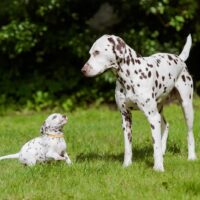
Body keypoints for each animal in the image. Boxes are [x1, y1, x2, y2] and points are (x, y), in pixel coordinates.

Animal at [81, 33, 197, 171]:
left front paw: (158, 167)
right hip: (159, 110)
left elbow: (155, 145)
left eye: (97, 52)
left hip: (186, 107)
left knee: (190, 134)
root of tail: (180, 59)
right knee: (166, 125)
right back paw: (164, 151)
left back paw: (191, 157)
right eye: (90, 53)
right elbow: (128, 146)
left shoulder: (152, 117)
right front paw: (126, 165)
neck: (130, 75)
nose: (83, 70)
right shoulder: (126, 118)